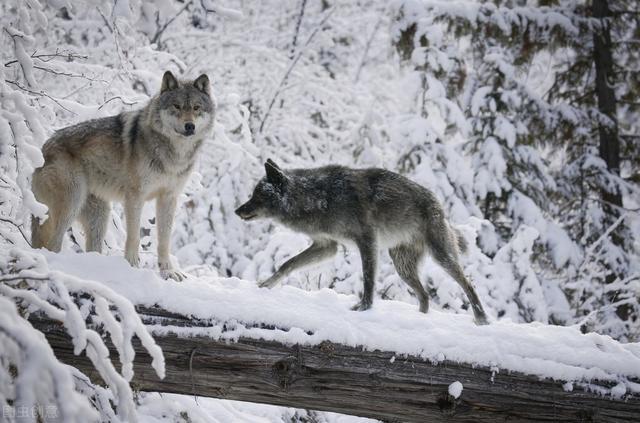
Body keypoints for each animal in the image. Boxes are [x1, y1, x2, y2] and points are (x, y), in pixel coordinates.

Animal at [30, 71, 215, 280]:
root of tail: (42, 149)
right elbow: (134, 236)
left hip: (100, 215)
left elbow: (164, 239)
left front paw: (168, 271)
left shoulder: (168, 197)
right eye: (176, 106)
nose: (189, 126)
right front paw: (132, 266)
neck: (174, 154)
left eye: (196, 107)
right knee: (53, 244)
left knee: (91, 248)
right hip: (72, 203)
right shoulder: (135, 196)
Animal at [235, 161, 490, 326]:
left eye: (257, 196)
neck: (320, 197)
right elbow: (287, 264)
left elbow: (368, 279)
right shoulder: (327, 246)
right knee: (425, 296)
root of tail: (439, 204)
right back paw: (421, 319)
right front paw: (266, 285)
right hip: (402, 267)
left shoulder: (366, 241)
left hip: (440, 258)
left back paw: (482, 319)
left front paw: (363, 308)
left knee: (468, 284)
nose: (237, 210)